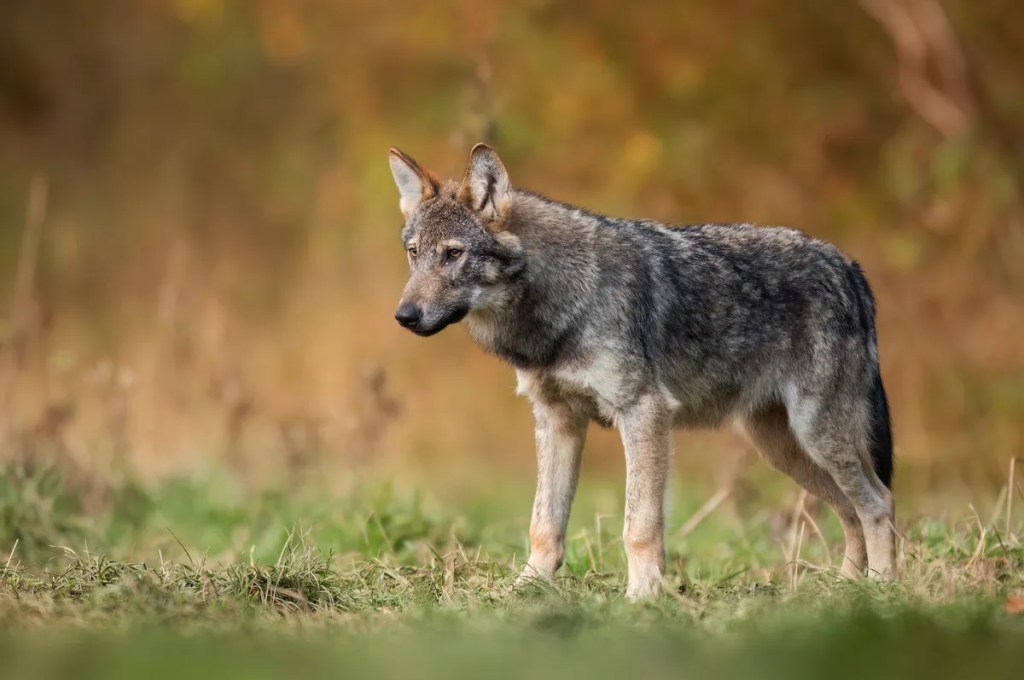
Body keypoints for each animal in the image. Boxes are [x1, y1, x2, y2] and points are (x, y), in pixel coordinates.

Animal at [388, 143, 895, 598]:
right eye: (414, 253)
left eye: (453, 254)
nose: (404, 316)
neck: (561, 303)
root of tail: (848, 266)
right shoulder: (557, 421)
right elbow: (543, 524)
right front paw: (524, 589)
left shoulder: (644, 414)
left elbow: (640, 525)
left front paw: (642, 597)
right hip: (784, 450)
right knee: (852, 511)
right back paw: (846, 588)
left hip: (816, 437)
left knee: (878, 504)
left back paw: (880, 588)